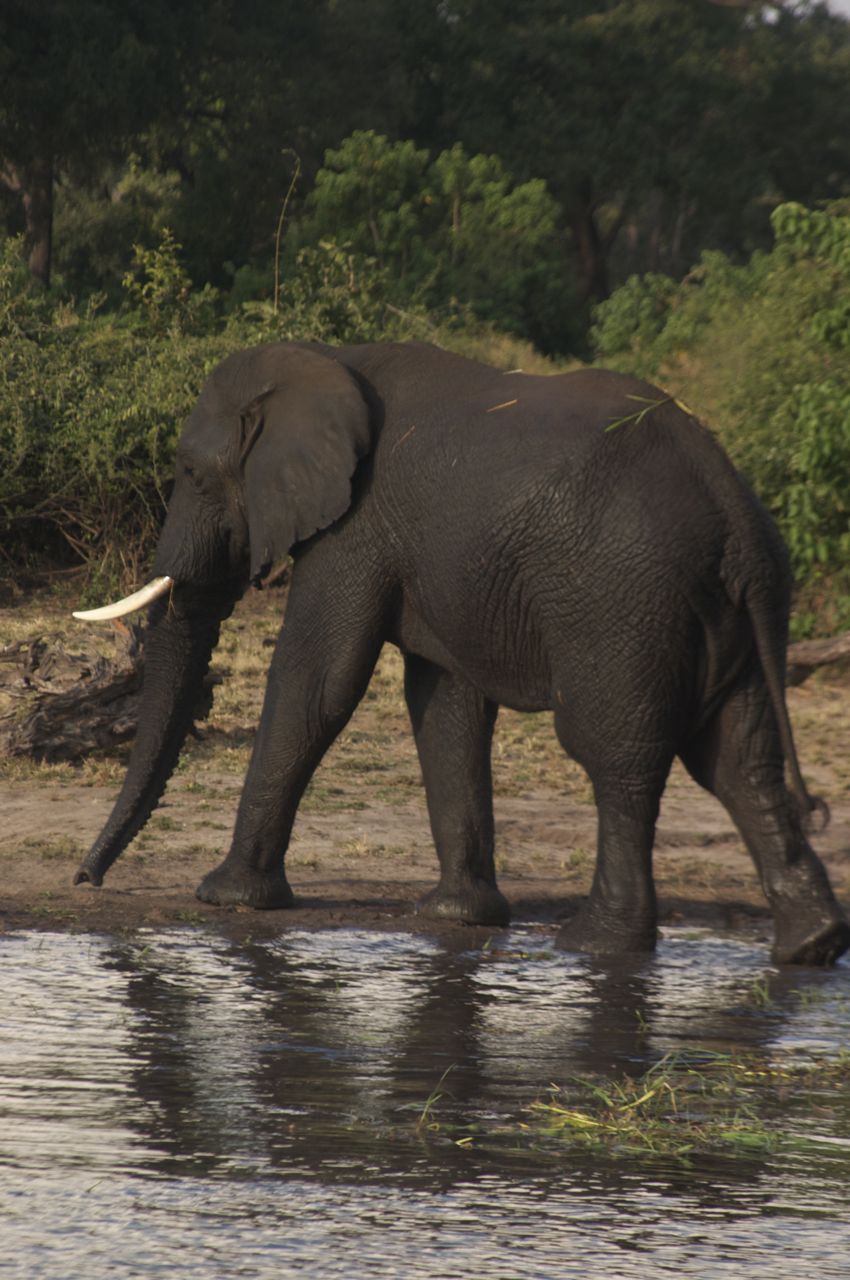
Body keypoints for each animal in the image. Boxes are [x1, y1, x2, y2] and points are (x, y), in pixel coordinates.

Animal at [72, 339, 850, 965]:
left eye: (192, 475)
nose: (85, 881)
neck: (326, 358)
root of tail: (733, 508)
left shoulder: (353, 529)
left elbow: (318, 681)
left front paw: (225, 897)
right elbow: (445, 704)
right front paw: (456, 917)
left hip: (622, 603)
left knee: (617, 757)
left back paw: (594, 944)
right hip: (728, 608)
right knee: (739, 760)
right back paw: (810, 946)